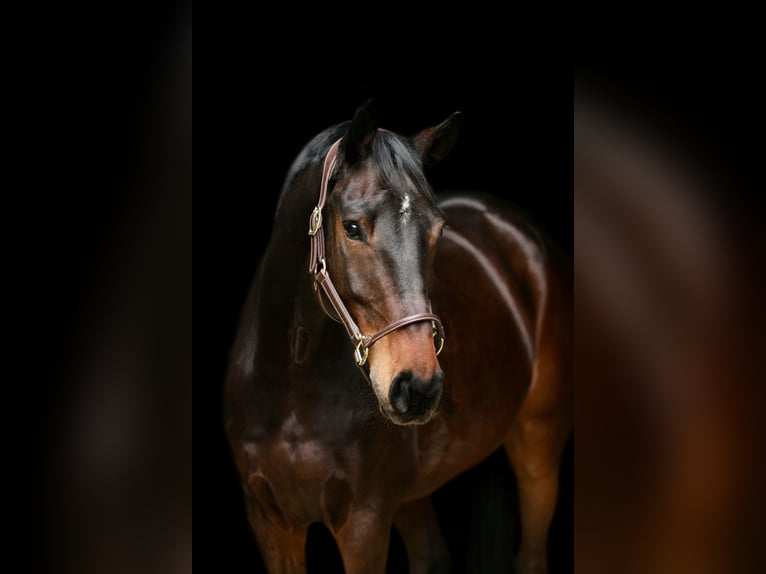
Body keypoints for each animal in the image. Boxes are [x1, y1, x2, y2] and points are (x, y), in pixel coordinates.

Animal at [225, 101, 572, 572]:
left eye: (438, 231)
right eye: (352, 227)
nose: (418, 386)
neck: (291, 390)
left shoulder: (365, 523)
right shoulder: (270, 522)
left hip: (539, 444)